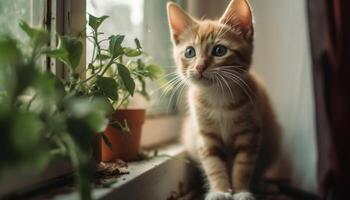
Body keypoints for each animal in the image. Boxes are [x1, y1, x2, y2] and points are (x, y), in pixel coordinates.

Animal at [167, 0, 282, 200]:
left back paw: (262, 185)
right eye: (189, 52)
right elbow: (214, 166)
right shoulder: (206, 137)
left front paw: (241, 191)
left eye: (219, 50)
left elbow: (243, 167)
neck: (218, 98)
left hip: (272, 138)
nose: (199, 67)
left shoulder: (249, 134)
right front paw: (219, 191)